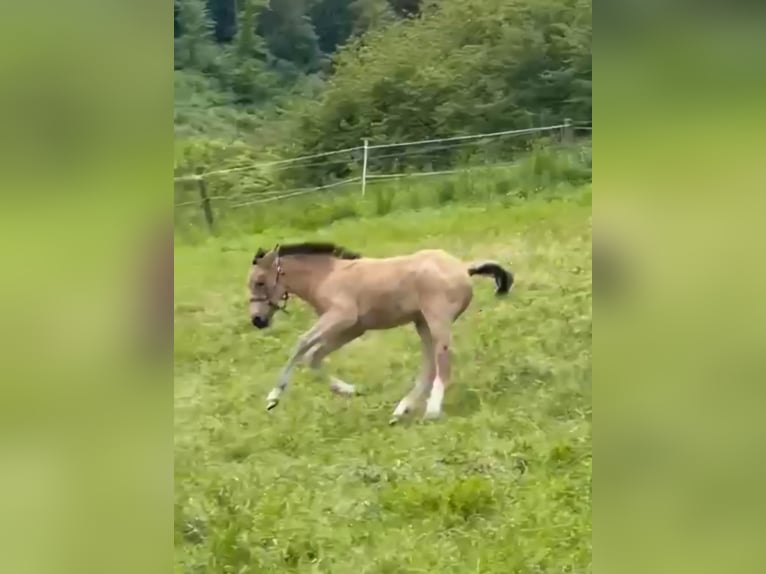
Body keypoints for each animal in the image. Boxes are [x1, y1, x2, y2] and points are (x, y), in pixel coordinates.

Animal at [247, 242, 513, 423]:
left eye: (259, 282)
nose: (257, 321)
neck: (326, 277)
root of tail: (463, 268)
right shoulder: (352, 328)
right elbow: (314, 356)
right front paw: (350, 390)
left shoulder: (342, 317)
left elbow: (301, 344)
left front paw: (273, 397)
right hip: (422, 323)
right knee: (429, 364)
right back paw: (401, 410)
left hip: (437, 319)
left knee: (442, 361)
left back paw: (432, 410)